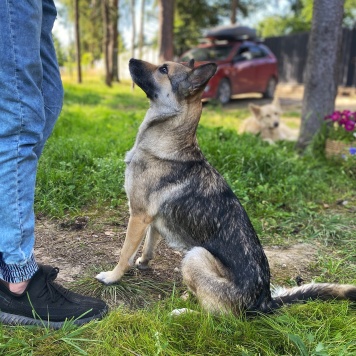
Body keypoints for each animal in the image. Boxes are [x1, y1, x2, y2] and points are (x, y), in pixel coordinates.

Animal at [95, 58, 356, 314]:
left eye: (163, 69)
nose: (130, 59)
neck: (170, 140)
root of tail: (265, 301)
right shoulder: (151, 219)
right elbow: (148, 245)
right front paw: (143, 263)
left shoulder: (138, 216)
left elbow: (125, 252)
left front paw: (113, 277)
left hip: (195, 255)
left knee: (217, 317)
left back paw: (185, 311)